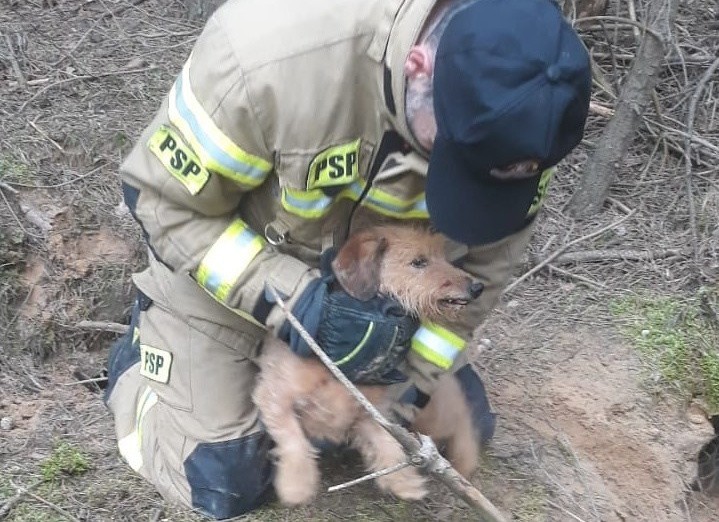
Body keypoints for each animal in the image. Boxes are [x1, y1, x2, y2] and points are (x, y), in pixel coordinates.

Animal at [253, 223, 484, 504]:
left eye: (444, 257)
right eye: (419, 262)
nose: (477, 287)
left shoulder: (373, 415)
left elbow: (390, 446)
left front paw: (405, 482)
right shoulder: (275, 394)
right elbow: (293, 437)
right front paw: (296, 485)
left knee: (464, 419)